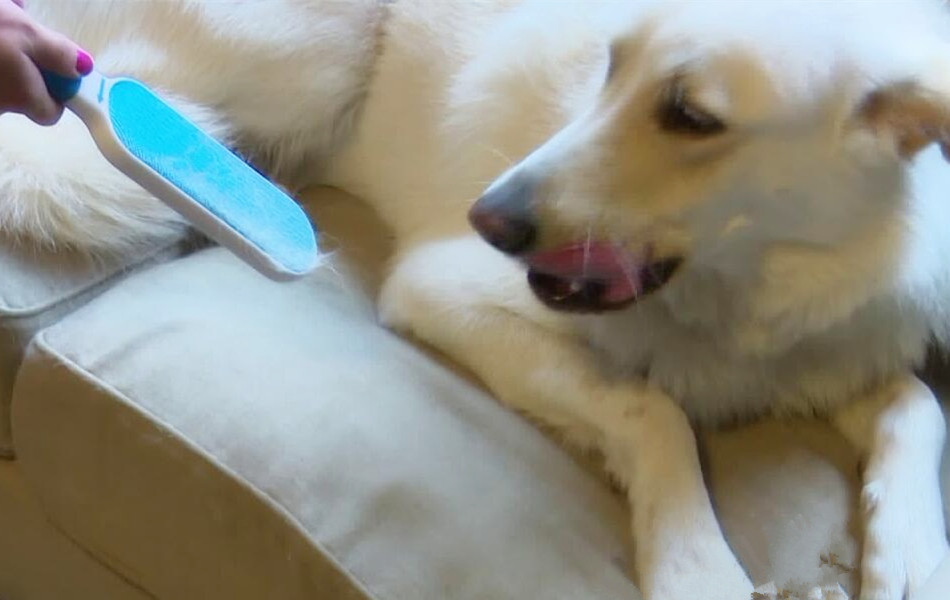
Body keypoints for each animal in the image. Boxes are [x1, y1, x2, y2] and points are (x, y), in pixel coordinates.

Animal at [3, 1, 949, 599]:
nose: (487, 217)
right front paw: (695, 567)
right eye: (610, 69)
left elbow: (917, 402)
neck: (739, 291)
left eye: (691, 116)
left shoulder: (824, 351)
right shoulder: (441, 285)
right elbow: (653, 411)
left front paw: (910, 556)